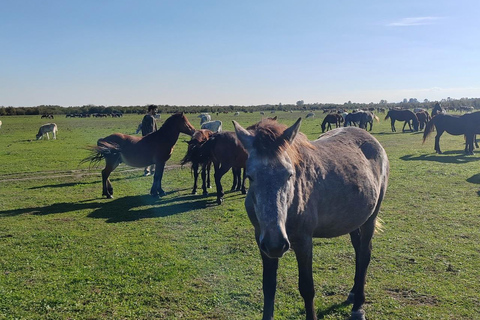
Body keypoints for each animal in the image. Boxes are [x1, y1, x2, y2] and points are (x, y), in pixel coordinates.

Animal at [234, 118, 388, 320]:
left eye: (289, 174)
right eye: (249, 176)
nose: (276, 243)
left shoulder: (303, 242)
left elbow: (307, 288)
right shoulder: (262, 242)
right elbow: (268, 287)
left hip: (371, 217)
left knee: (365, 255)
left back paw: (358, 307)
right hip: (354, 219)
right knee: (358, 249)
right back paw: (353, 293)